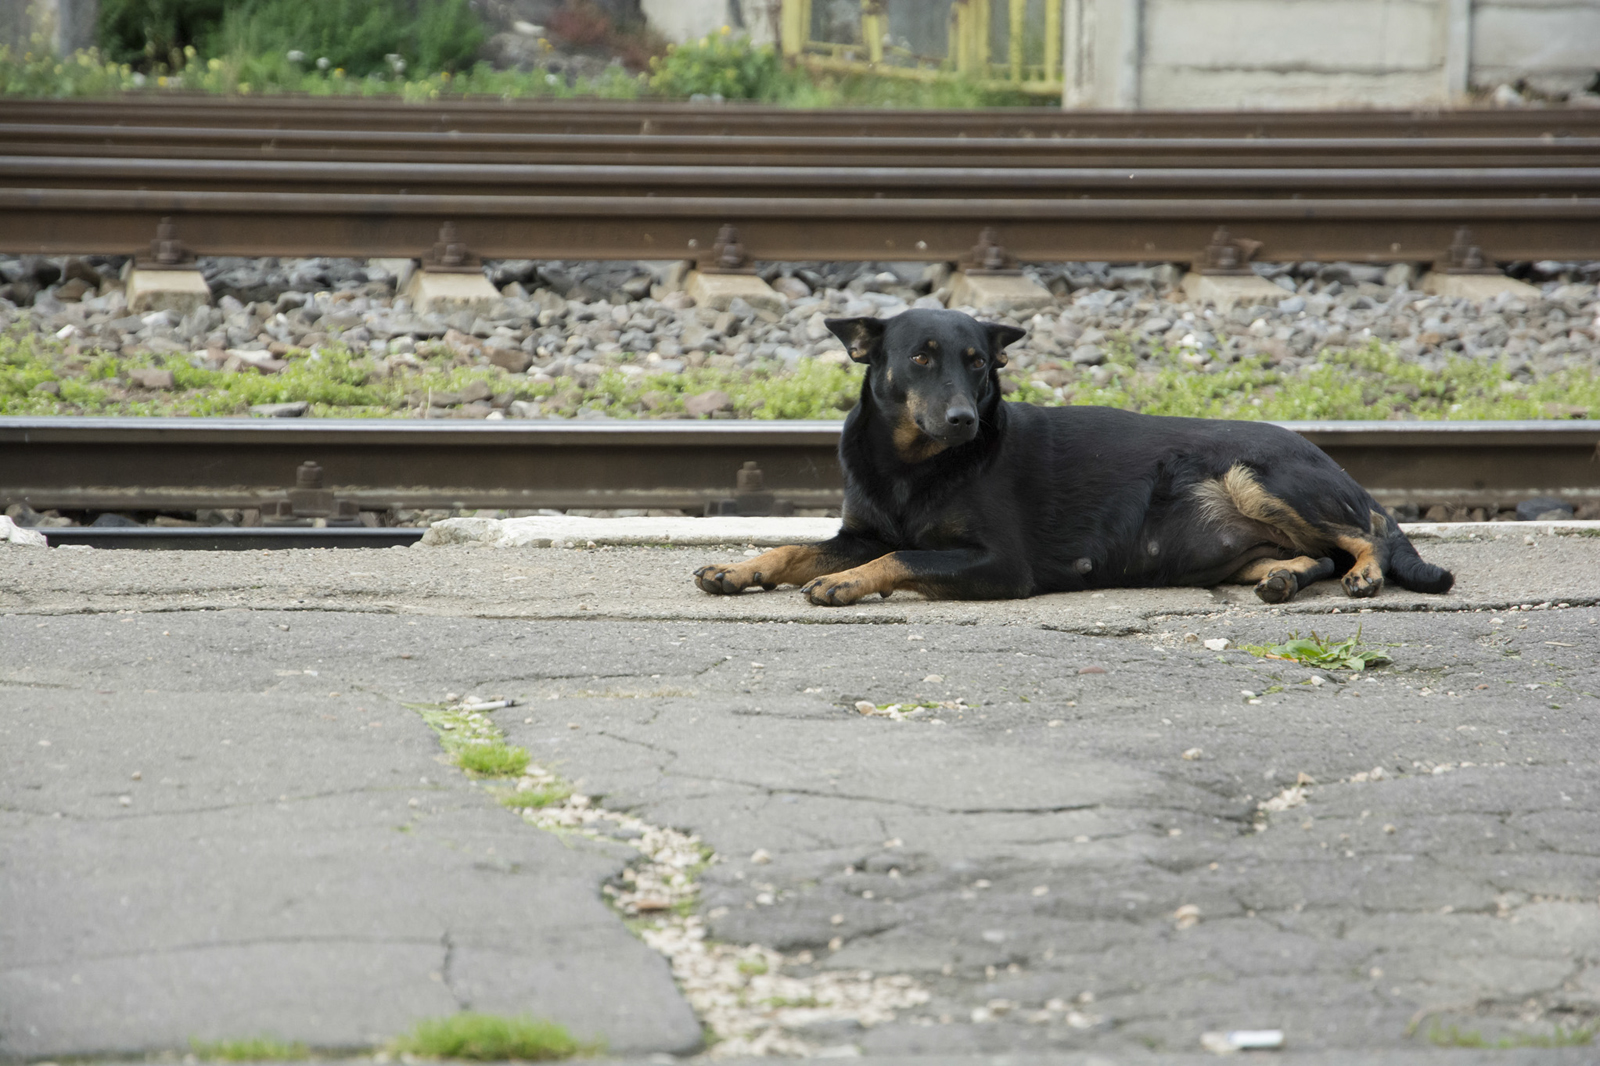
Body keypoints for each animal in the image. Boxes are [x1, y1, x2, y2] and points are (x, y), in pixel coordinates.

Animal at [694, 308, 1453, 607]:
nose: (965, 420)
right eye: (921, 358)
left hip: (1256, 475)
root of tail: (1331, 462)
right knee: (1313, 554)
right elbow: (793, 548)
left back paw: (1364, 574)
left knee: (1362, 535)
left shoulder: (999, 564)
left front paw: (847, 584)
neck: (916, 464)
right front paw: (740, 568)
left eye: (978, 363)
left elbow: (900, 556)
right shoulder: (859, 531)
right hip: (1245, 538)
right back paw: (1287, 578)